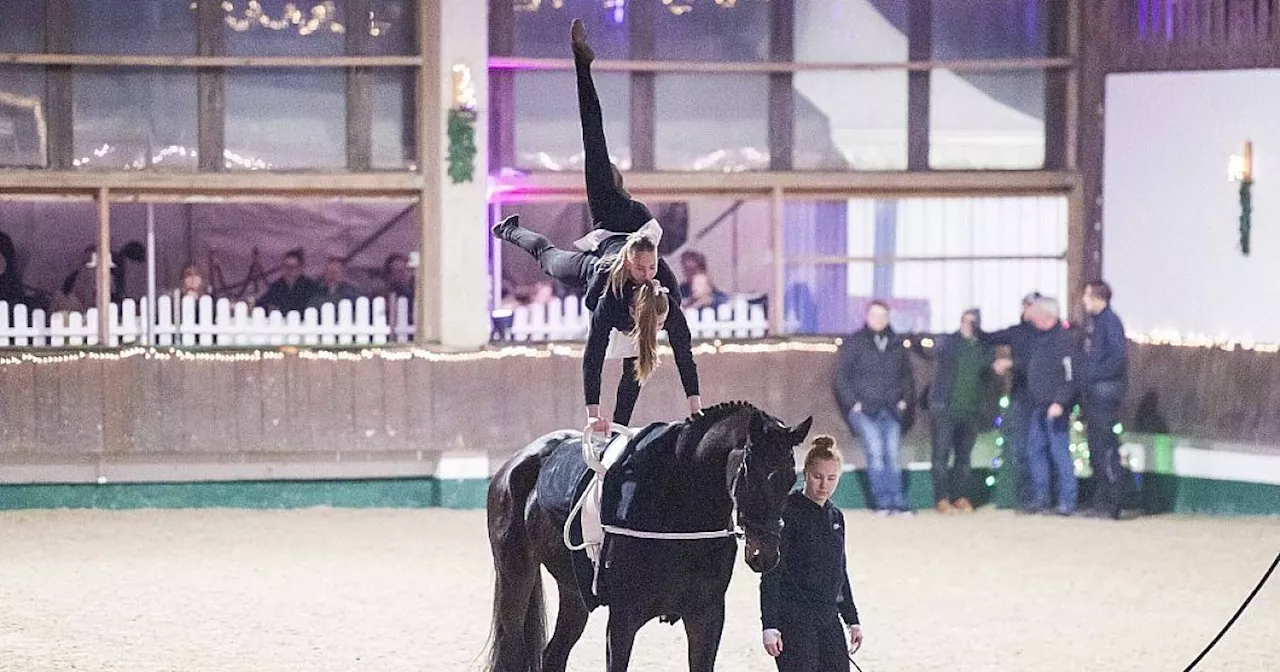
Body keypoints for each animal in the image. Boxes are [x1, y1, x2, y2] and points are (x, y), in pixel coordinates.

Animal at [481, 401, 808, 665]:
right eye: (751, 474)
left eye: (790, 478)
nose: (765, 555)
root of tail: (514, 464)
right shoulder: (623, 619)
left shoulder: (707, 616)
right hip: (515, 576)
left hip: (574, 592)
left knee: (554, 654)